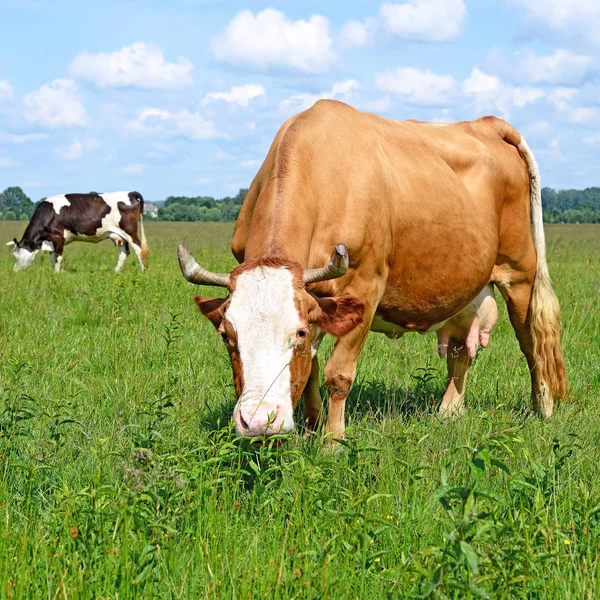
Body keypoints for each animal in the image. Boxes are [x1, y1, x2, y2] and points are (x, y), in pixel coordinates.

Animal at [7, 191, 149, 274]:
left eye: (15, 256)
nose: (14, 272)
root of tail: (129, 193)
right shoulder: (53, 241)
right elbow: (52, 257)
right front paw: (61, 271)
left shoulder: (58, 237)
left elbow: (57, 257)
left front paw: (56, 274)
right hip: (120, 236)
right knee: (124, 253)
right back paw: (116, 272)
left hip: (129, 232)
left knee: (139, 249)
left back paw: (143, 272)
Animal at [177, 101, 568, 440]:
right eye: (226, 335)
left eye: (297, 333)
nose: (259, 421)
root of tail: (487, 123)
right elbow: (311, 370)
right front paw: (311, 426)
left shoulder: (364, 288)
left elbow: (337, 374)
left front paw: (332, 442)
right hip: (468, 283)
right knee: (461, 349)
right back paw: (449, 412)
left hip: (520, 272)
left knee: (531, 342)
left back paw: (542, 408)